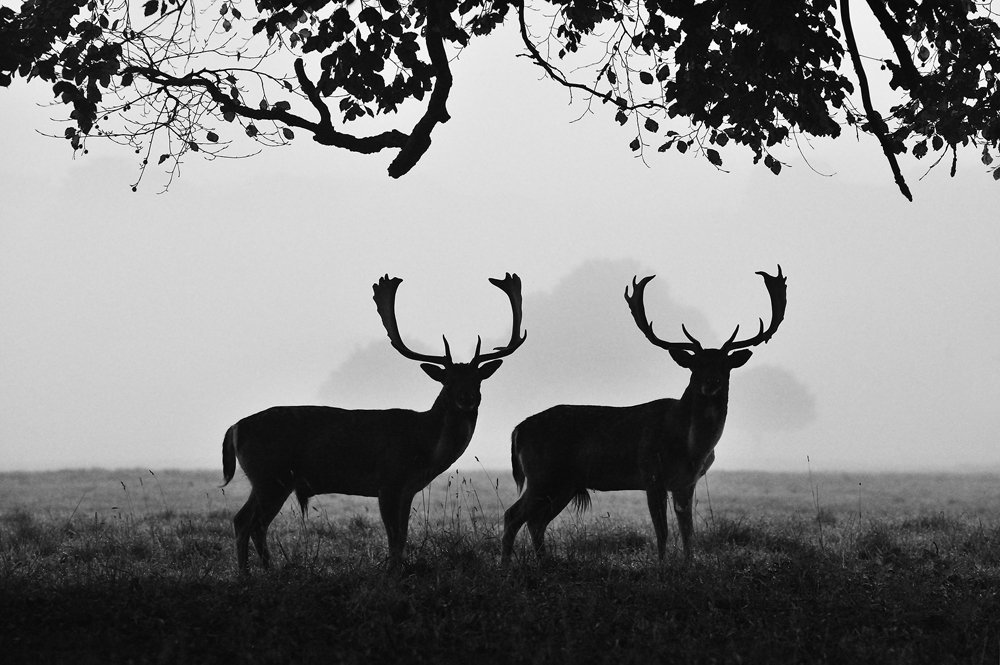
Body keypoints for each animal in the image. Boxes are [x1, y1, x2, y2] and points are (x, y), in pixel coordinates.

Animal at [222, 273, 525, 573]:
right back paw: (246, 574)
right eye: (447, 382)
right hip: (270, 475)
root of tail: (234, 428)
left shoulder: (408, 489)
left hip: (272, 479)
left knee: (254, 523)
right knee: (244, 521)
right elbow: (394, 537)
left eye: (478, 380)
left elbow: (402, 537)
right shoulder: (389, 480)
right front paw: (391, 574)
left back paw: (267, 570)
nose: (466, 399)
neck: (426, 446)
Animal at [501, 267, 786, 566]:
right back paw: (506, 565)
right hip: (542, 474)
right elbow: (662, 531)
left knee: (536, 522)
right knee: (513, 515)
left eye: (725, 365)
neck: (691, 446)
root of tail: (517, 429)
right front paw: (661, 566)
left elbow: (688, 532)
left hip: (564, 483)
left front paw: (689, 565)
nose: (711, 382)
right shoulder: (652, 474)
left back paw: (543, 563)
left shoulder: (687, 483)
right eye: (695, 365)